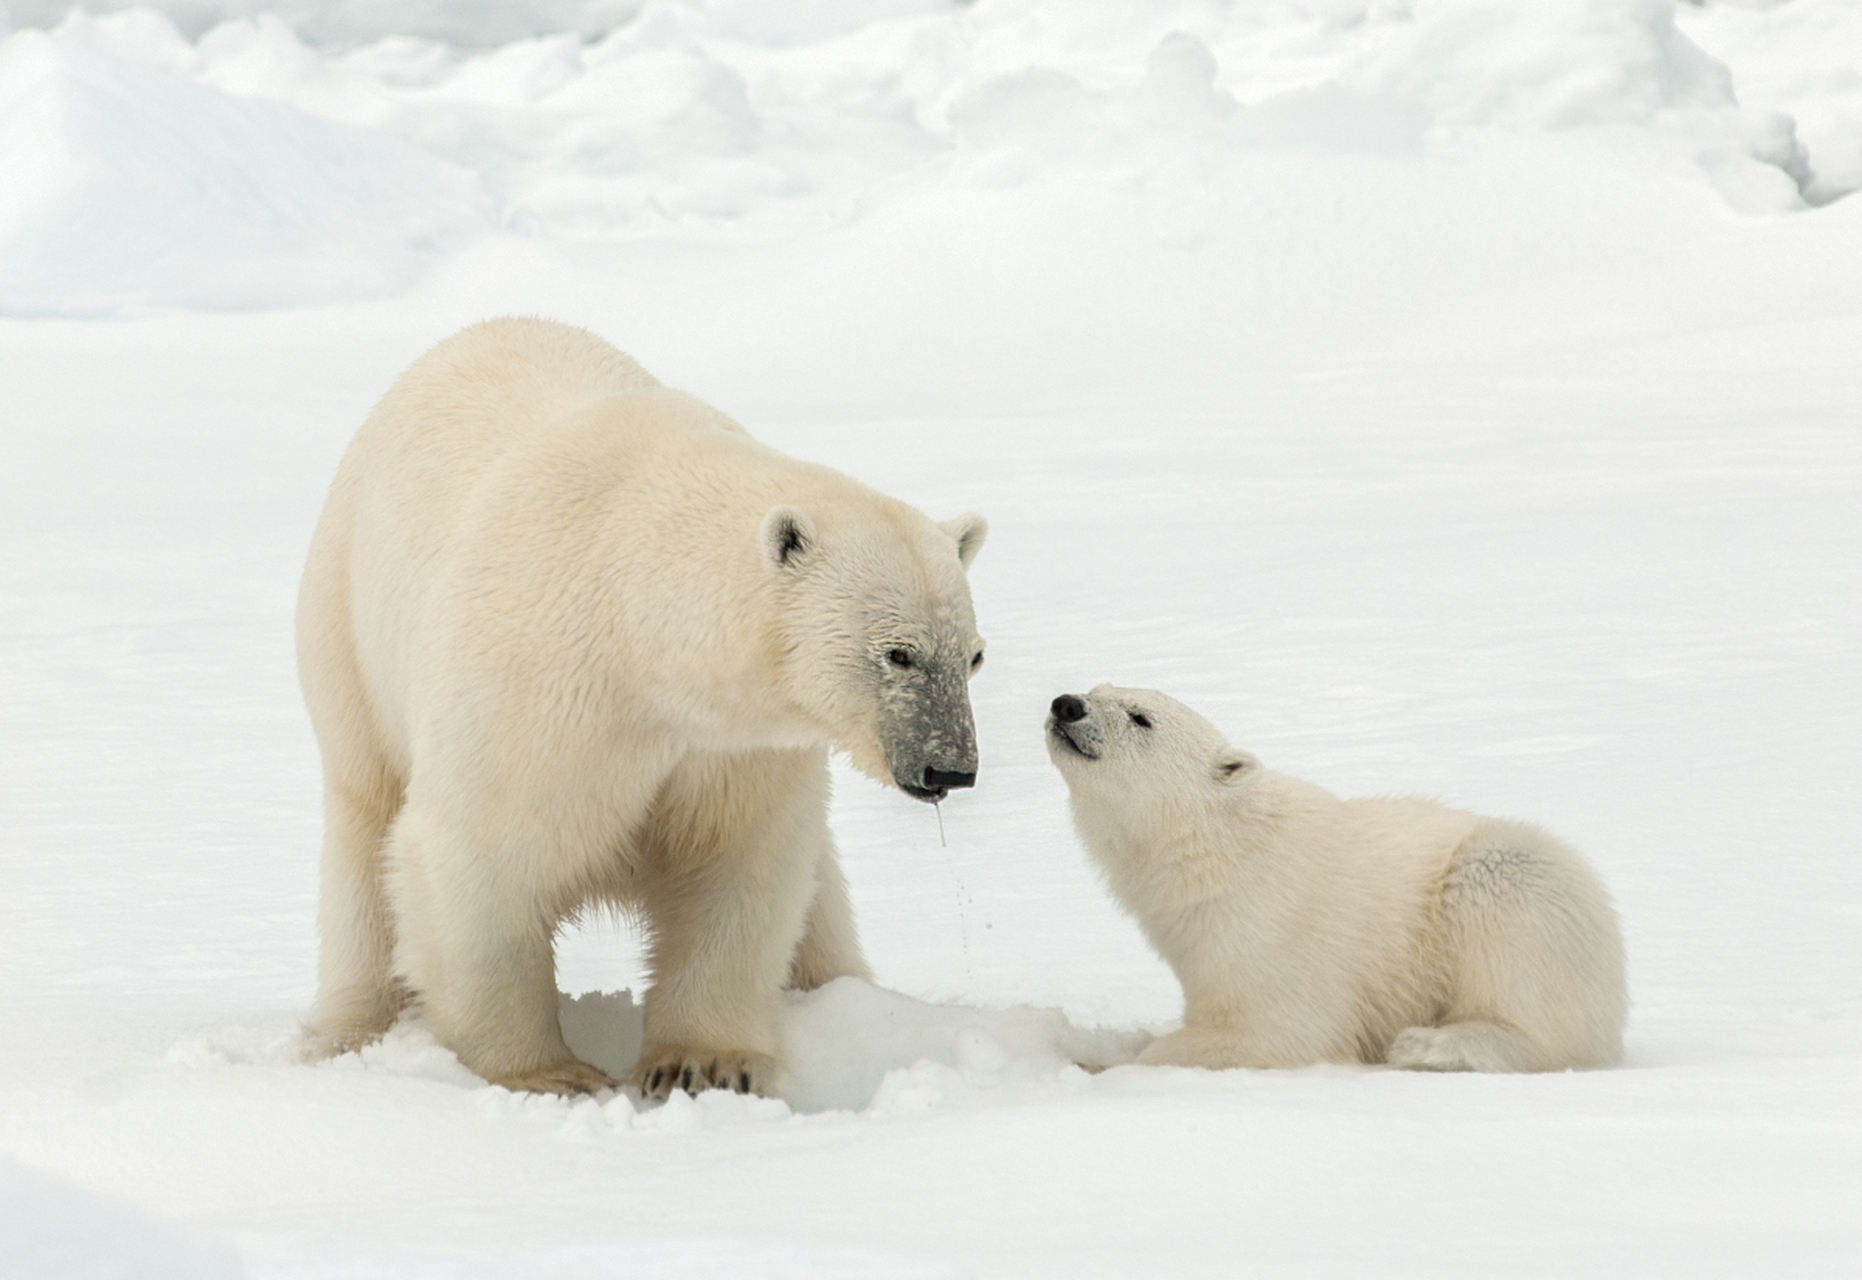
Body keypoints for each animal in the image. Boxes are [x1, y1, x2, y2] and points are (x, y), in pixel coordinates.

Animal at [297, 314, 990, 1095]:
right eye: (898, 652)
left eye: (973, 656)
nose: (950, 768)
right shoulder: (535, 691)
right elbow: (482, 854)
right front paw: (551, 1073)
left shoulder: (732, 746)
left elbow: (734, 863)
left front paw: (705, 1063)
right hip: (348, 640)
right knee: (366, 833)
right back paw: (351, 1032)